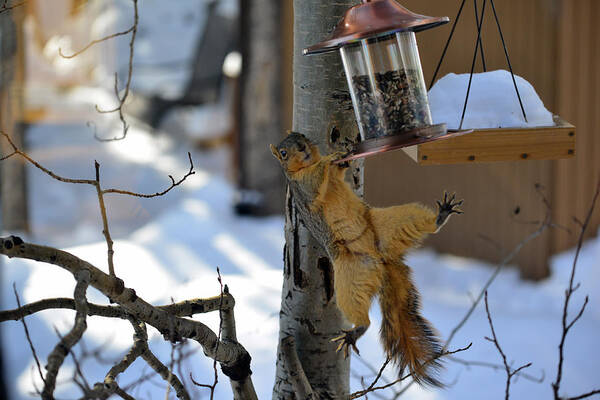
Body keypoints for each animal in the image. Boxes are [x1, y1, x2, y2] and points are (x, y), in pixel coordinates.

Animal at [272, 132, 464, 388]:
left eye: (302, 137)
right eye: (283, 153)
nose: (302, 147)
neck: (307, 164)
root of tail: (380, 261)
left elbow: (336, 174)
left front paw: (343, 156)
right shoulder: (303, 188)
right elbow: (316, 183)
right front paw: (332, 157)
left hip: (389, 224)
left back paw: (440, 216)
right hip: (351, 276)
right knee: (360, 313)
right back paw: (356, 331)